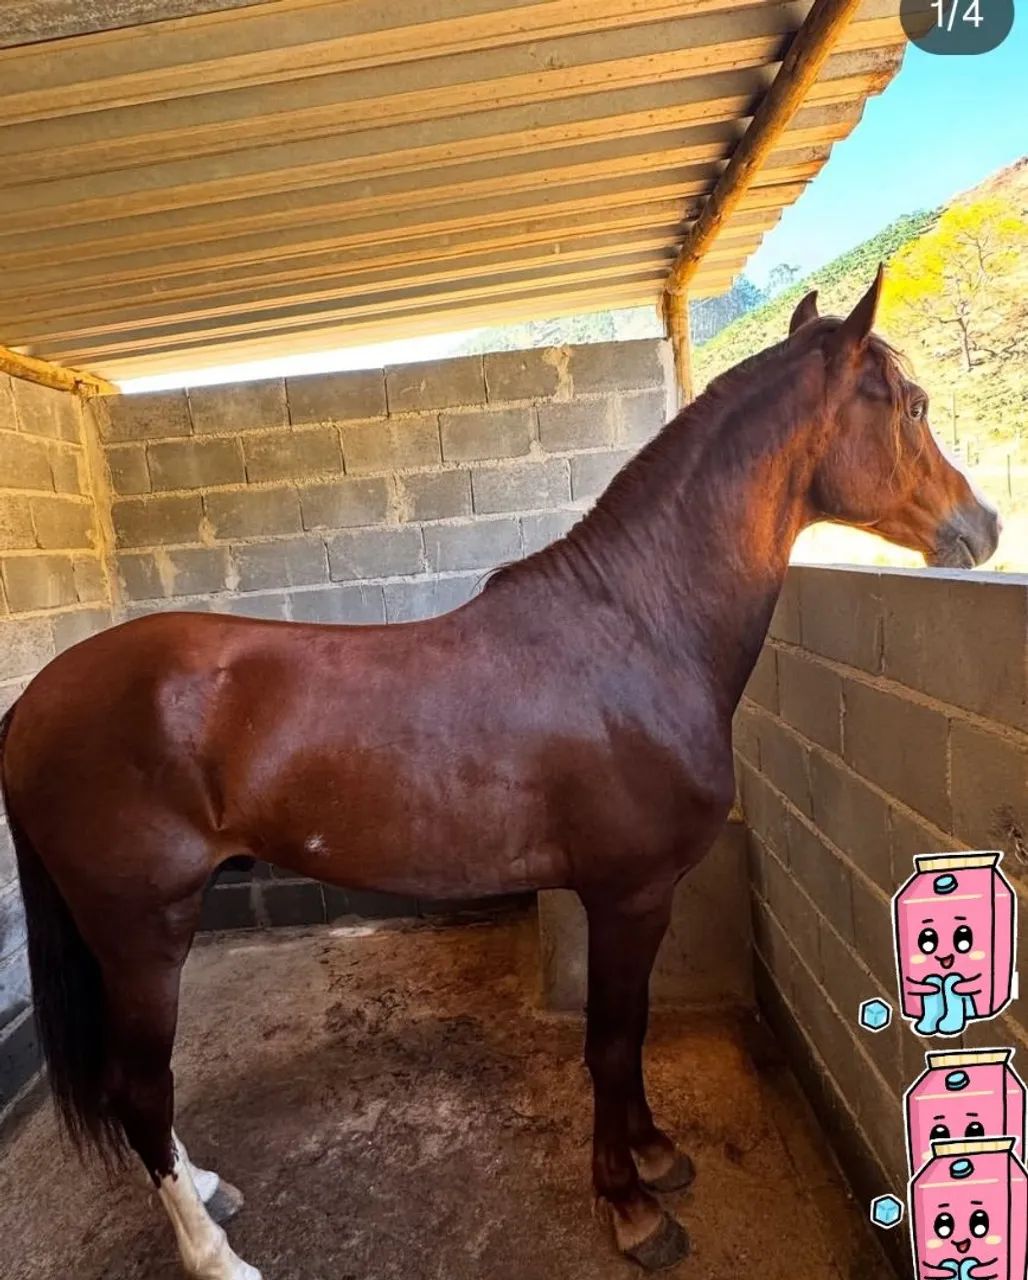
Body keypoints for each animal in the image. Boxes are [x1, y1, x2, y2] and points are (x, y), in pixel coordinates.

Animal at [0, 268, 1000, 1279]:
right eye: (912, 405)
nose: (985, 524)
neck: (637, 630)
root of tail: (36, 700)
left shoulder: (637, 898)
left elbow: (633, 1028)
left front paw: (654, 1155)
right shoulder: (627, 893)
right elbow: (609, 1041)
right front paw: (630, 1205)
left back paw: (206, 1187)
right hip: (144, 930)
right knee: (139, 1087)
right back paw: (215, 1254)